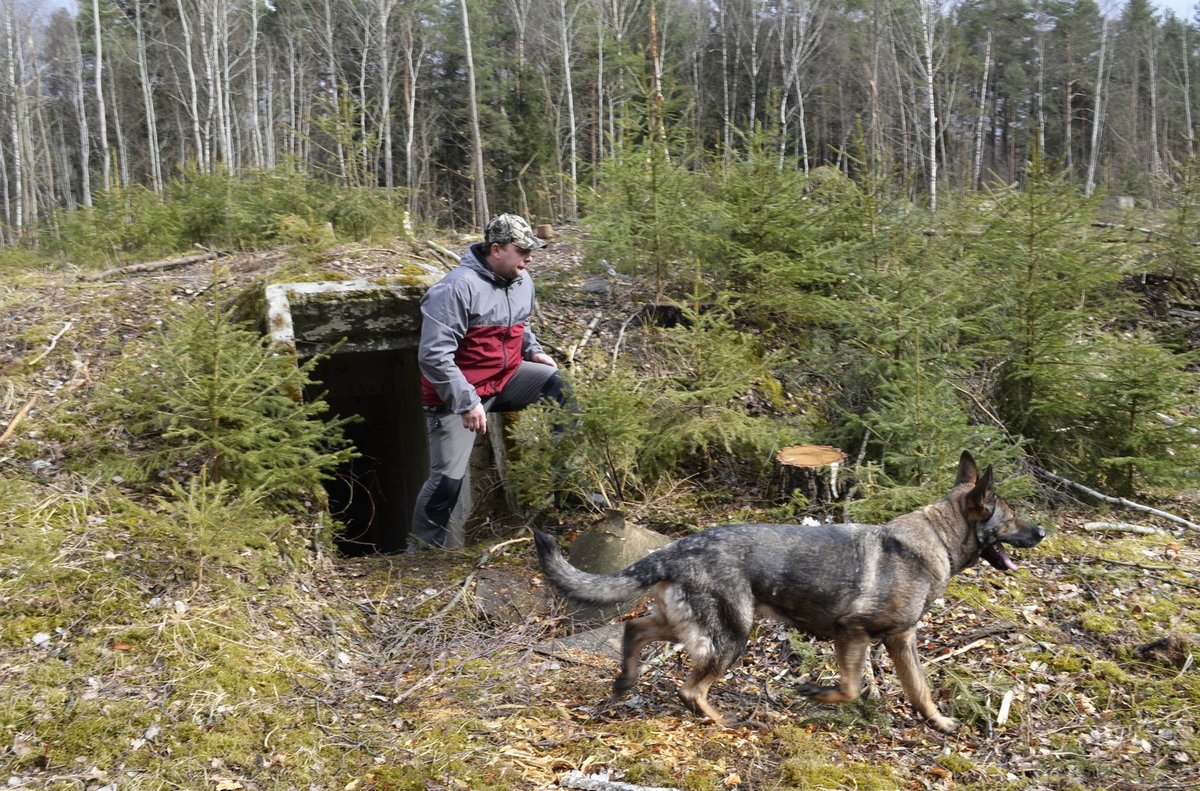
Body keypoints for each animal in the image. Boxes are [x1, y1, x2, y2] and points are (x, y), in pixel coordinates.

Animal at [530, 453, 1046, 734]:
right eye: (1011, 517)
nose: (1042, 531)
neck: (935, 538)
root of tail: (676, 548)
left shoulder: (898, 642)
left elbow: (918, 691)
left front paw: (938, 723)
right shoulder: (854, 633)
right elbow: (852, 687)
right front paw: (816, 692)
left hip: (689, 624)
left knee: (634, 629)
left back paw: (626, 681)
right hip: (732, 635)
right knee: (689, 688)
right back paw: (720, 720)